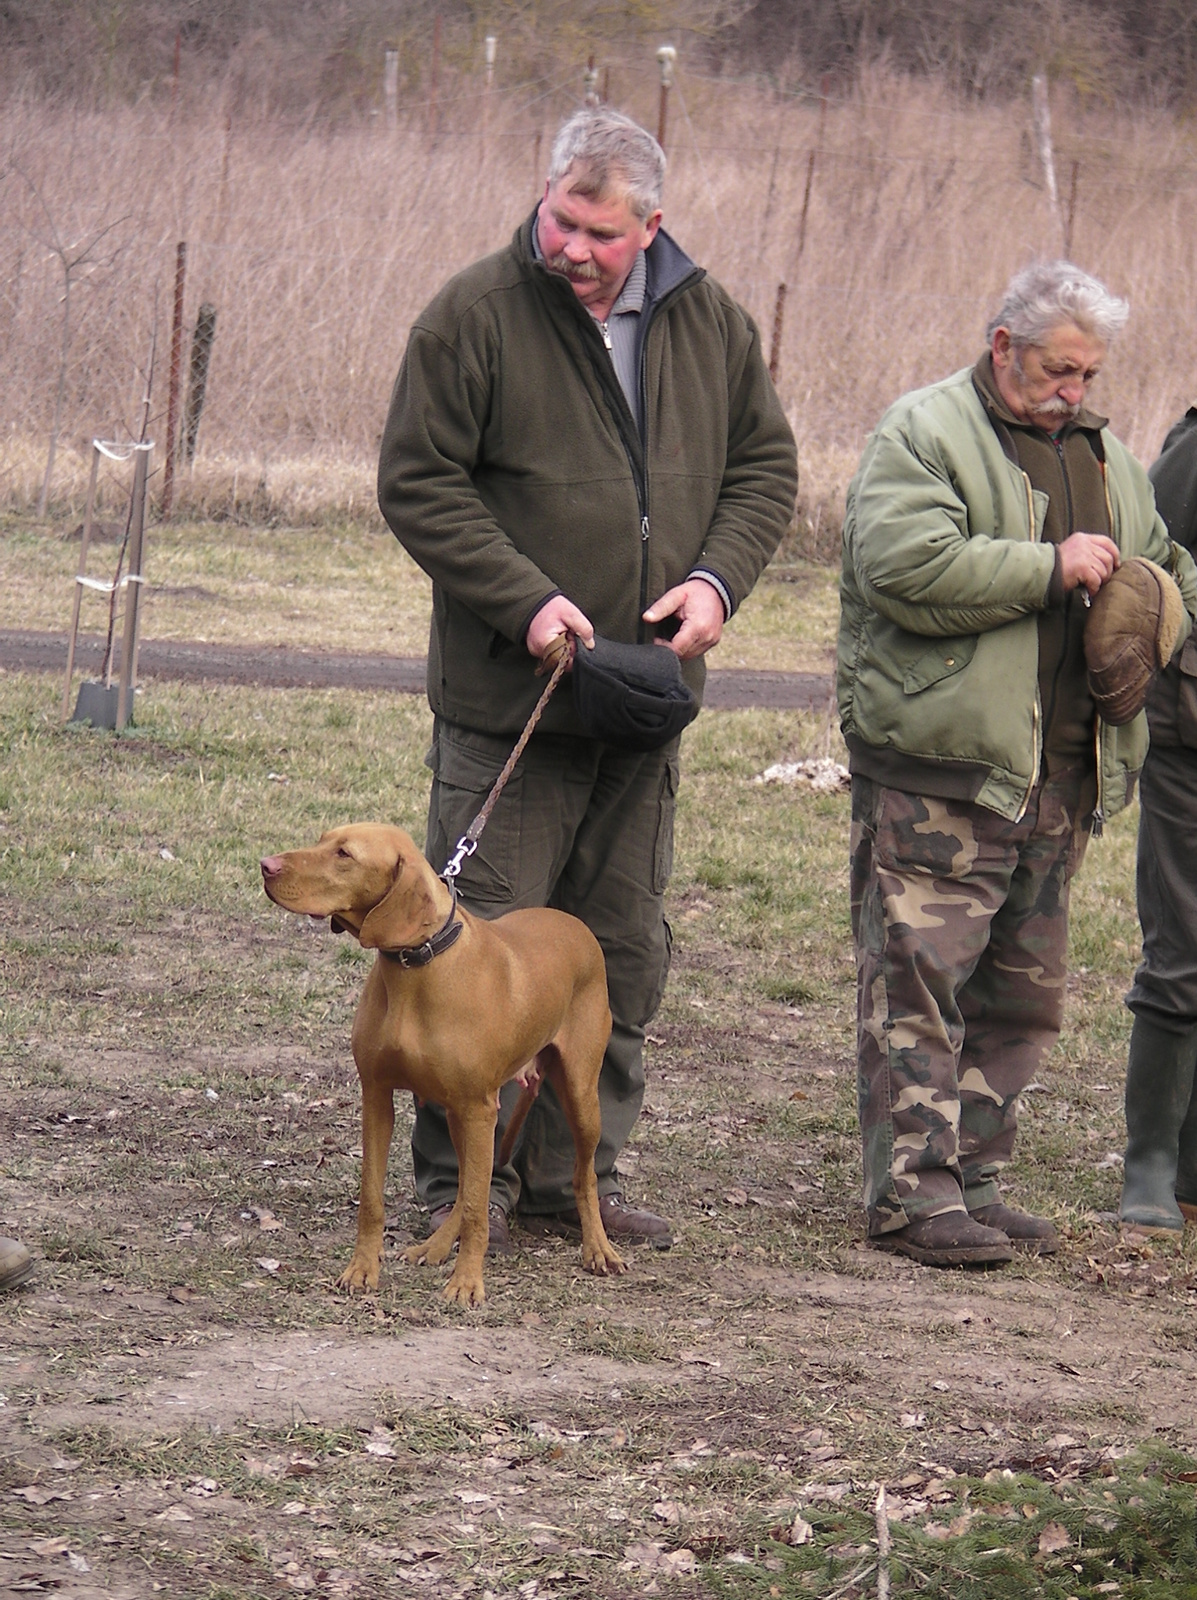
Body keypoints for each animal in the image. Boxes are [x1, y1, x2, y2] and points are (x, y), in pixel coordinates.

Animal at [257, 832, 620, 1305]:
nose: (266, 865)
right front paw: (362, 1270)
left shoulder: (481, 1109)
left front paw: (467, 1282)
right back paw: (434, 1246)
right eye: (323, 839)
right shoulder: (378, 1096)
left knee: (583, 1175)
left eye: (344, 854)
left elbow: (478, 1210)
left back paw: (598, 1248)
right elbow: (374, 1198)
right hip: (456, 1114)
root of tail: (574, 924)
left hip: (577, 1095)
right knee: (465, 1185)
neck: (415, 968)